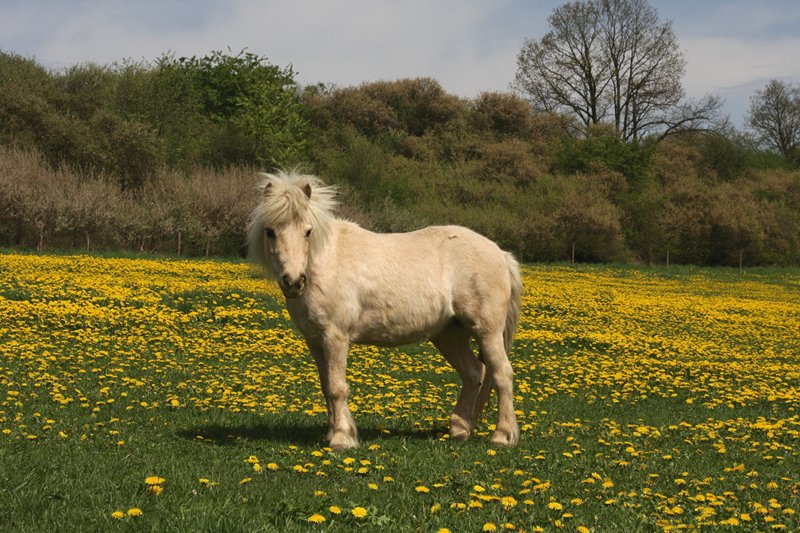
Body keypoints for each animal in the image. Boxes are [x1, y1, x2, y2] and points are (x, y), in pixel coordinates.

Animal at [247, 168, 528, 446]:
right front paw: (334, 432)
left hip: (487, 331)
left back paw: (503, 436)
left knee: (502, 374)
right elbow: (326, 386)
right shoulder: (314, 340)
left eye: (307, 231)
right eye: (270, 231)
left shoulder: (335, 336)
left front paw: (341, 439)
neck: (325, 262)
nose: (294, 281)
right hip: (450, 335)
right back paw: (459, 430)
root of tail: (500, 253)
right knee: (474, 373)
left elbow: (337, 387)